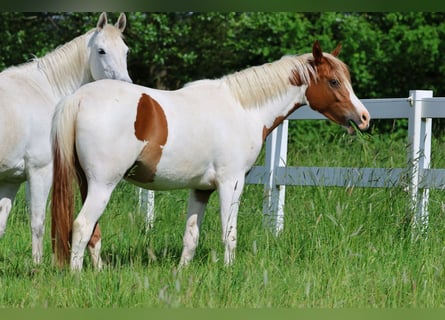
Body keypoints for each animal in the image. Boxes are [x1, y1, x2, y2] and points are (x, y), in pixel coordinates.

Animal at [0, 12, 131, 264]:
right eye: (101, 50)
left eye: (126, 51)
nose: (125, 86)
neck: (45, 89)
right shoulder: (40, 172)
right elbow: (37, 223)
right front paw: (37, 267)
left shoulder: (10, 180)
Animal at [50, 40, 370, 270]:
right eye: (333, 82)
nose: (364, 118)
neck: (242, 108)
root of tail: (78, 99)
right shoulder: (231, 183)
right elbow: (229, 233)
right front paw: (229, 272)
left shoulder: (200, 189)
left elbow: (191, 236)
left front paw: (182, 273)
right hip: (103, 184)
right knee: (82, 226)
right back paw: (77, 277)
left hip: (86, 183)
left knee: (93, 232)